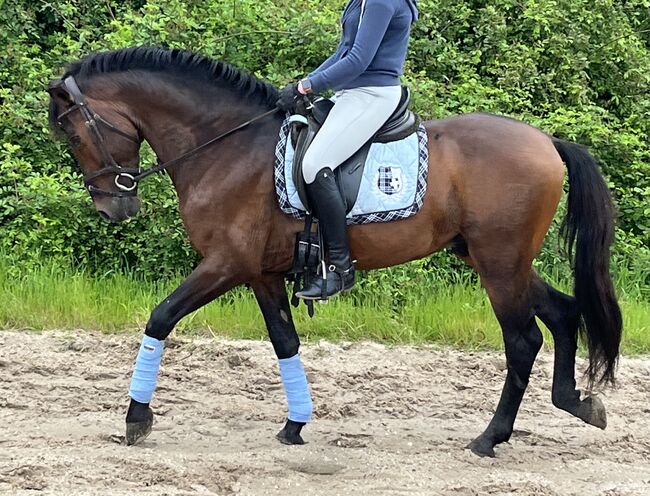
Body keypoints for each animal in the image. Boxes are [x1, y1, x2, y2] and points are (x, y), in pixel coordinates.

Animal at [46, 47, 616, 458]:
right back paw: (577, 403)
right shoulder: (261, 272)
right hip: (492, 258)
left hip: (498, 262)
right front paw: (295, 424)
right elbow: (284, 341)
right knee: (564, 313)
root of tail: (546, 141)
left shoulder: (226, 264)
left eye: (72, 132)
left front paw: (136, 420)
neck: (225, 147)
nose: (112, 208)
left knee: (523, 340)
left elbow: (160, 317)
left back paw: (489, 438)